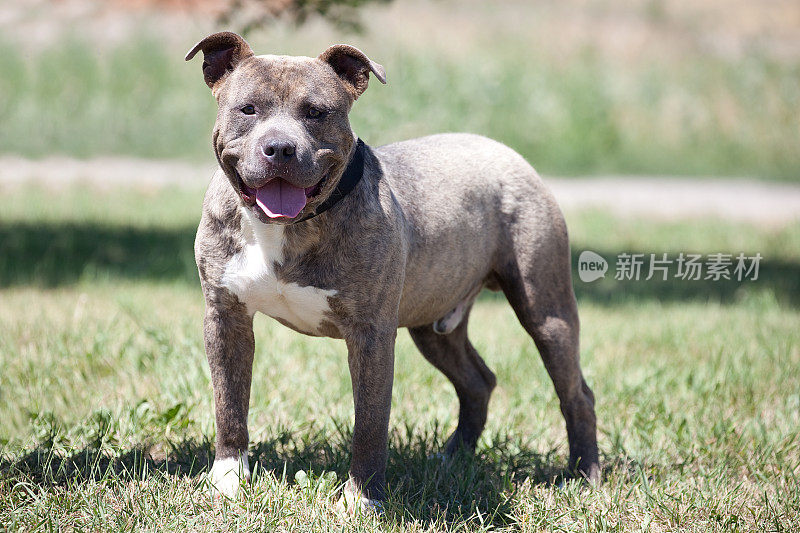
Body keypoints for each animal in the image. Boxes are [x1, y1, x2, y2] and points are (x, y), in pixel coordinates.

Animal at [186, 31, 600, 510]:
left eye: (317, 112)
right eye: (248, 109)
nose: (281, 148)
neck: (288, 226)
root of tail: (505, 151)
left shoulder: (371, 335)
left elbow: (369, 423)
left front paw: (362, 501)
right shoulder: (226, 318)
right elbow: (229, 404)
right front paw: (227, 480)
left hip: (546, 310)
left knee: (575, 392)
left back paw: (585, 474)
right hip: (433, 323)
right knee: (478, 381)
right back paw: (453, 460)